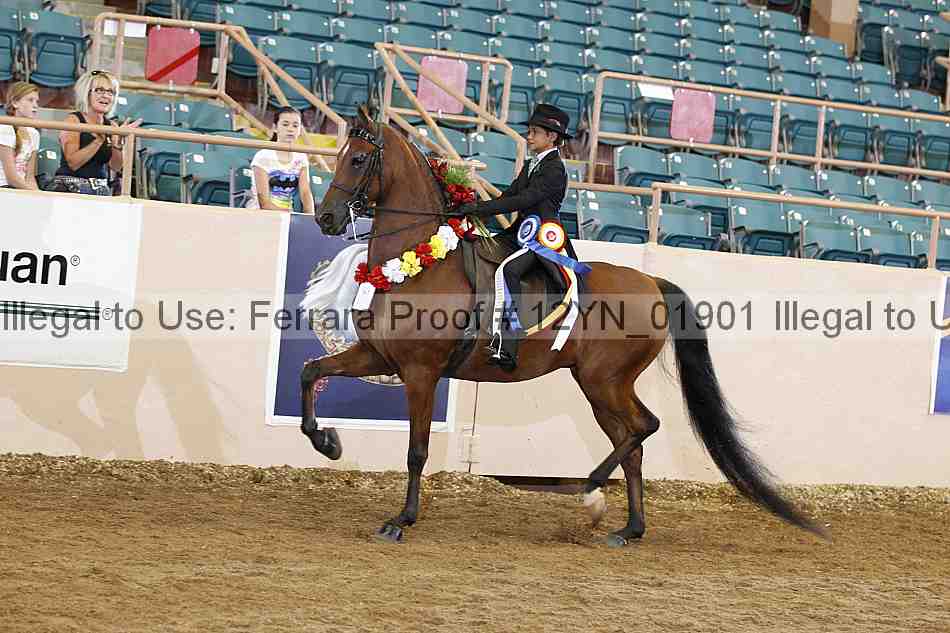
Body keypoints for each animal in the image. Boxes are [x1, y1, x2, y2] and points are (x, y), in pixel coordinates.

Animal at [302, 106, 824, 546]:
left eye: (359, 159)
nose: (325, 219)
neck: (422, 264)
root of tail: (651, 282)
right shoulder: (378, 356)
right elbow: (311, 371)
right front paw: (327, 442)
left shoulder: (420, 372)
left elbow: (417, 450)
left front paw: (401, 520)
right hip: (600, 386)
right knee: (632, 442)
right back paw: (627, 528)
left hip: (603, 380)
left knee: (644, 428)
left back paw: (587, 490)